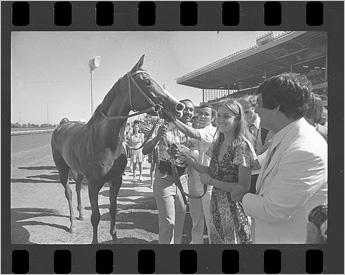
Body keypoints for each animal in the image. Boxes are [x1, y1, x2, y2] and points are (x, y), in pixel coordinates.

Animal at [51, 55, 184, 245]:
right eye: (147, 82)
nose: (179, 107)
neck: (105, 142)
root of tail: (62, 125)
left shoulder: (116, 181)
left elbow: (113, 210)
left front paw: (114, 237)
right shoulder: (94, 184)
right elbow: (96, 216)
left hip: (78, 171)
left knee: (76, 188)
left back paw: (81, 214)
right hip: (62, 169)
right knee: (68, 192)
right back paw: (72, 225)